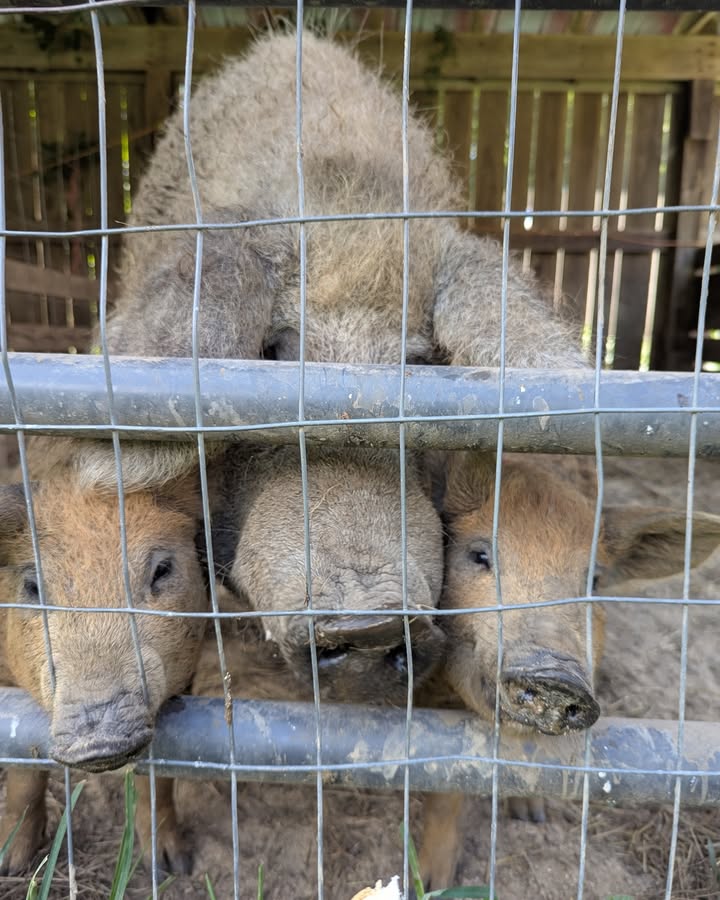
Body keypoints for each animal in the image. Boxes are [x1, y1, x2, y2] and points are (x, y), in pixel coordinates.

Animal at [0, 476, 207, 875]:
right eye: (32, 586)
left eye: (162, 569)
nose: (98, 739)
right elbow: (22, 772)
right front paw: (10, 864)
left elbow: (160, 777)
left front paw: (171, 867)